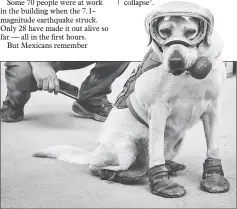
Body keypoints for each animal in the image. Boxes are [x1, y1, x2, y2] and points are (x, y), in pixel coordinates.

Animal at [33, 1, 230, 198]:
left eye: (190, 32)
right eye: (164, 31)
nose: (175, 62)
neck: (189, 74)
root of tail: (95, 151)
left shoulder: (213, 108)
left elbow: (213, 147)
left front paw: (214, 175)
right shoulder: (158, 110)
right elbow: (156, 154)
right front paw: (162, 182)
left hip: (175, 142)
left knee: (149, 162)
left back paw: (166, 166)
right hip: (125, 149)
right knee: (98, 166)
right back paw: (116, 174)